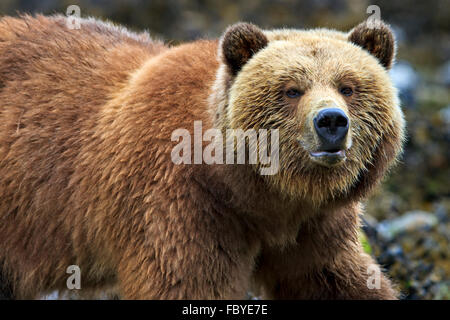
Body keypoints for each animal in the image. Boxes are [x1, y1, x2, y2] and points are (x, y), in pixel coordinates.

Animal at [0, 15, 404, 300]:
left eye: (348, 86)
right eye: (291, 89)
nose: (331, 121)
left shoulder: (315, 224)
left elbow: (334, 279)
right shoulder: (183, 204)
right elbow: (187, 282)